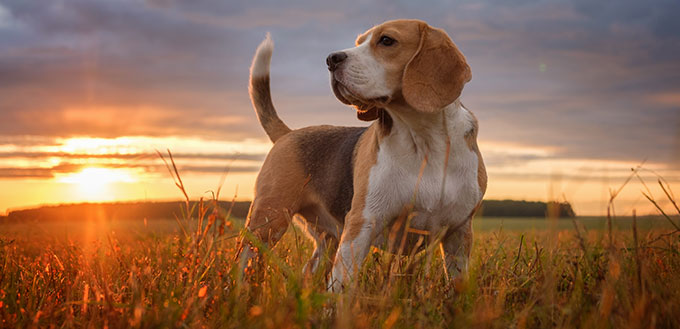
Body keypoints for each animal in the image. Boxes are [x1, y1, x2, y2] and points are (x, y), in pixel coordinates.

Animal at [239, 18, 484, 290]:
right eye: (358, 43)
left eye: (387, 40)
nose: (331, 59)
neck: (424, 140)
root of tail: (288, 133)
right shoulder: (362, 223)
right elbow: (340, 285)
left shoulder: (459, 233)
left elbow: (458, 283)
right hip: (267, 222)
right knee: (246, 260)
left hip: (327, 239)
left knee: (308, 270)